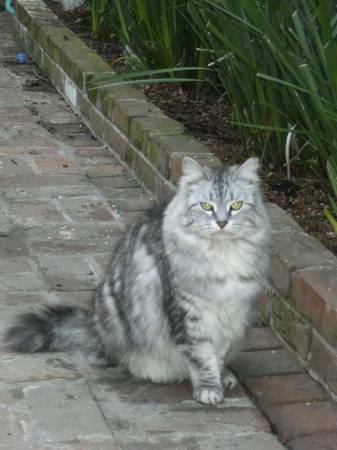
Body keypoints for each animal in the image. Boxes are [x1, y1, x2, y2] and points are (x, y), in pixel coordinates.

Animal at [3, 157, 270, 404]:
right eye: (206, 206)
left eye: (236, 205)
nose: (222, 222)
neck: (222, 254)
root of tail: (91, 324)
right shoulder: (188, 312)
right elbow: (201, 356)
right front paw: (208, 389)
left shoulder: (232, 313)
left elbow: (217, 355)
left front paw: (219, 377)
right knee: (105, 356)